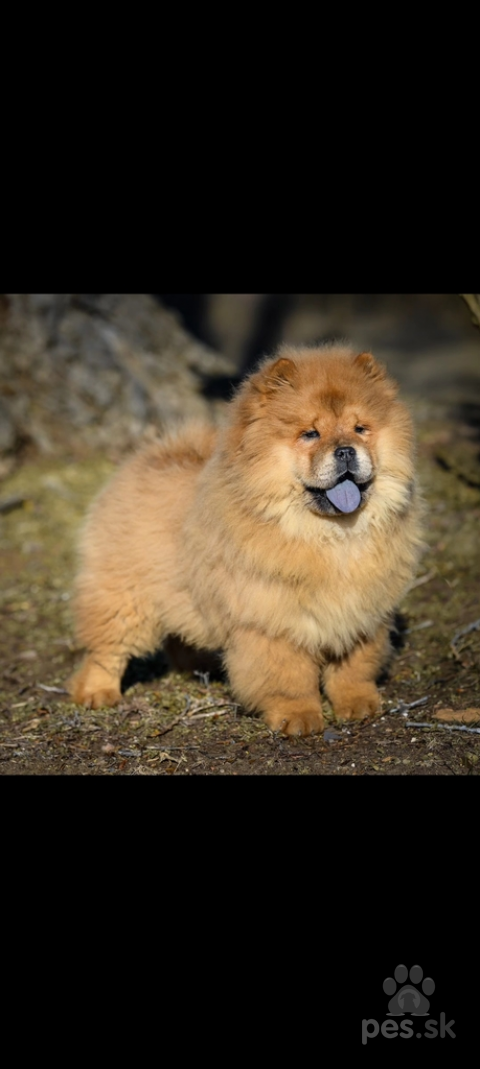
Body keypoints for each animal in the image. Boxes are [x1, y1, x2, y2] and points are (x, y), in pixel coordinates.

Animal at [69, 346, 421, 739]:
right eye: (310, 434)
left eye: (361, 429)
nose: (346, 450)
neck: (331, 537)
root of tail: (146, 457)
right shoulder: (273, 623)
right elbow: (287, 677)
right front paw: (298, 719)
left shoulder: (362, 614)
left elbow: (353, 668)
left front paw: (359, 705)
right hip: (124, 597)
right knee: (105, 650)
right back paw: (96, 693)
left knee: (179, 638)